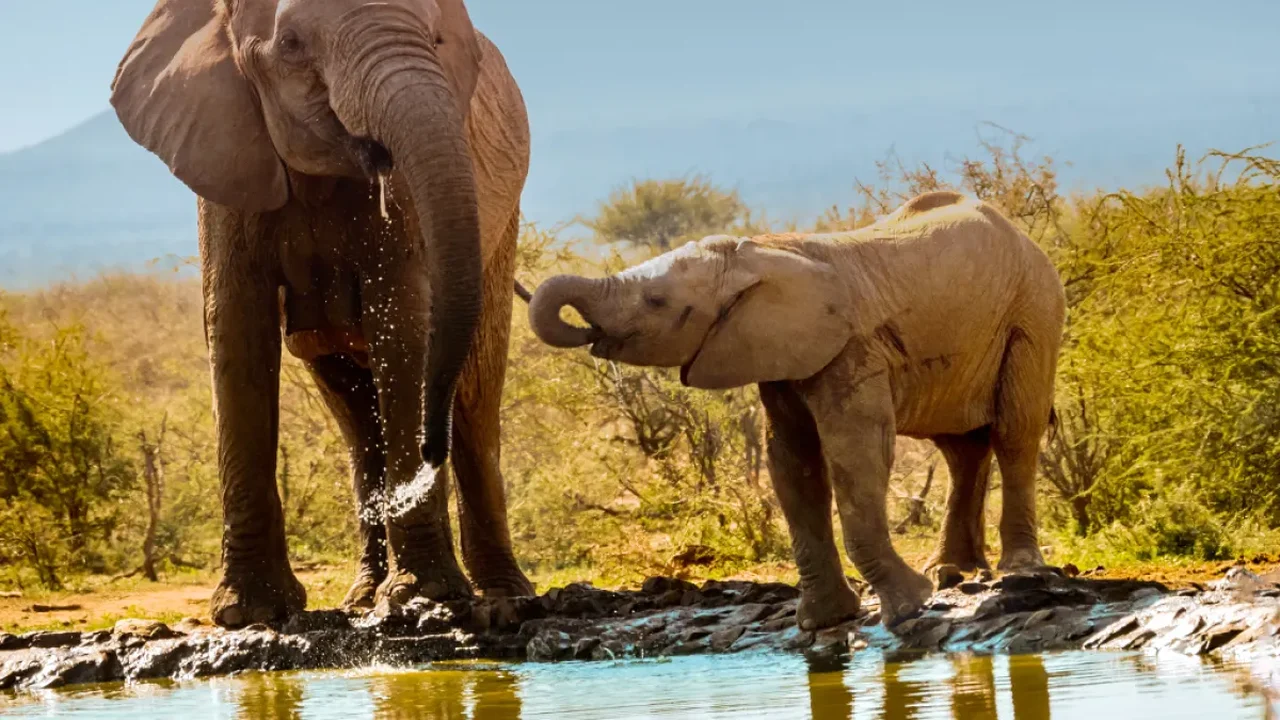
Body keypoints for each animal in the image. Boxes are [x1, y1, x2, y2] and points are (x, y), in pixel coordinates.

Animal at [111, 0, 535, 627]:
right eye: (289, 45)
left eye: (435, 40)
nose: (428, 449)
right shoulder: (225, 160)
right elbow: (236, 322)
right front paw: (249, 613)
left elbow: (401, 320)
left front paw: (426, 598)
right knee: (358, 421)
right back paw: (362, 597)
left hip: (502, 227)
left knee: (476, 400)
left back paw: (504, 597)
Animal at [528, 191, 1066, 628]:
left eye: (657, 301)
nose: (586, 332)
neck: (754, 254)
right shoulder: (780, 357)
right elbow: (791, 462)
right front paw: (826, 621)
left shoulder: (852, 350)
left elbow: (856, 455)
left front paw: (908, 606)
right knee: (961, 449)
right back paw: (952, 572)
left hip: (1033, 310)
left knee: (1014, 432)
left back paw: (1017, 569)